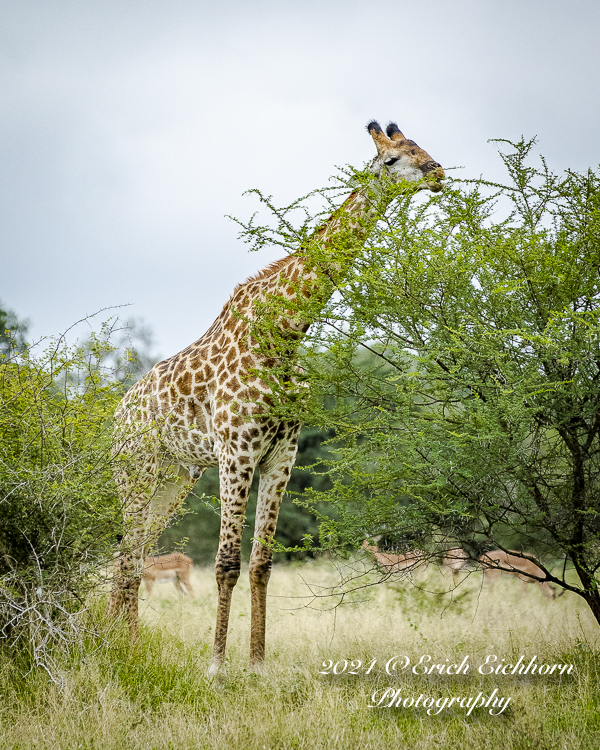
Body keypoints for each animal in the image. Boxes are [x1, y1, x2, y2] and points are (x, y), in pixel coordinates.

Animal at [109, 123, 446, 676]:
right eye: (393, 160)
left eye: (421, 147)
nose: (438, 173)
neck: (285, 332)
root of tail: (117, 414)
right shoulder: (236, 451)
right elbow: (227, 563)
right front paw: (216, 667)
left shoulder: (281, 455)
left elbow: (262, 564)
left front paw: (258, 665)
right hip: (135, 470)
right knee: (128, 553)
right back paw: (119, 645)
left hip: (175, 477)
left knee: (133, 555)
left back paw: (124, 647)